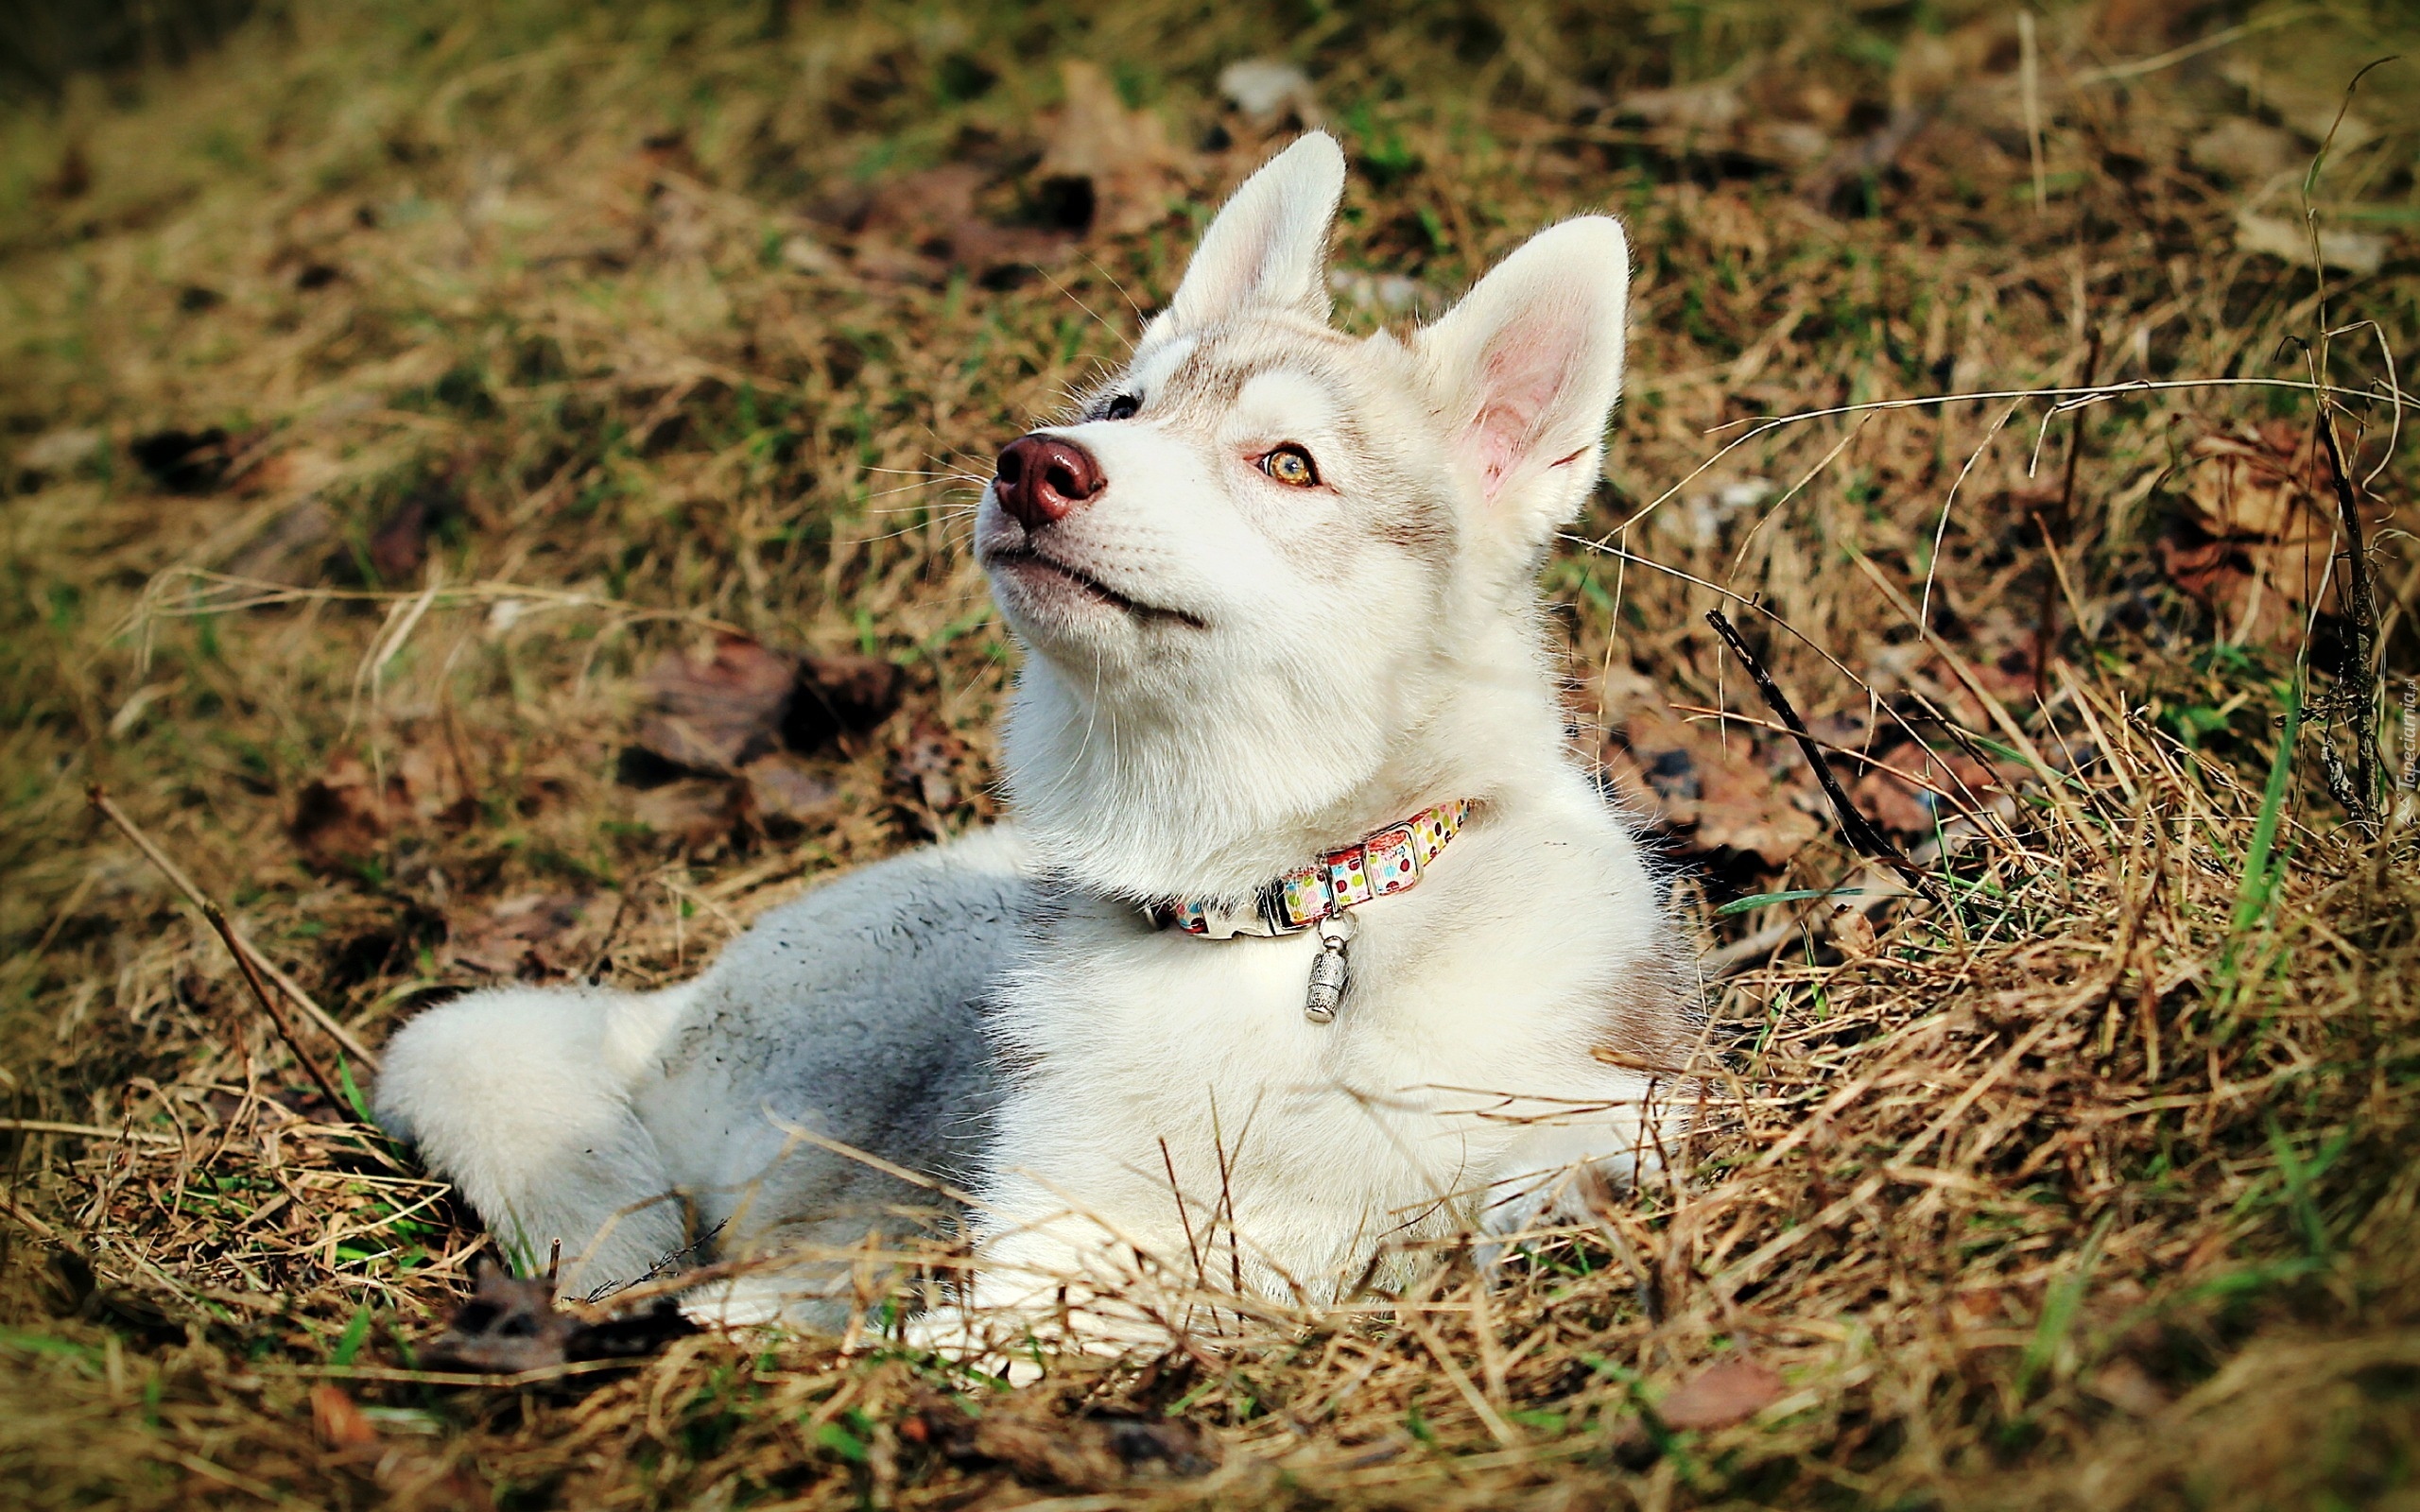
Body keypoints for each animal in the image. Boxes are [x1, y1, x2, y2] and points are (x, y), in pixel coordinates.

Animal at [377, 135, 1703, 1335]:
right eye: (1122, 408)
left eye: (1288, 464)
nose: (1033, 465)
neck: (1289, 913)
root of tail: (668, 998)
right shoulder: (1044, 1241)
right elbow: (1012, 1330)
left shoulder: (1587, 1130)